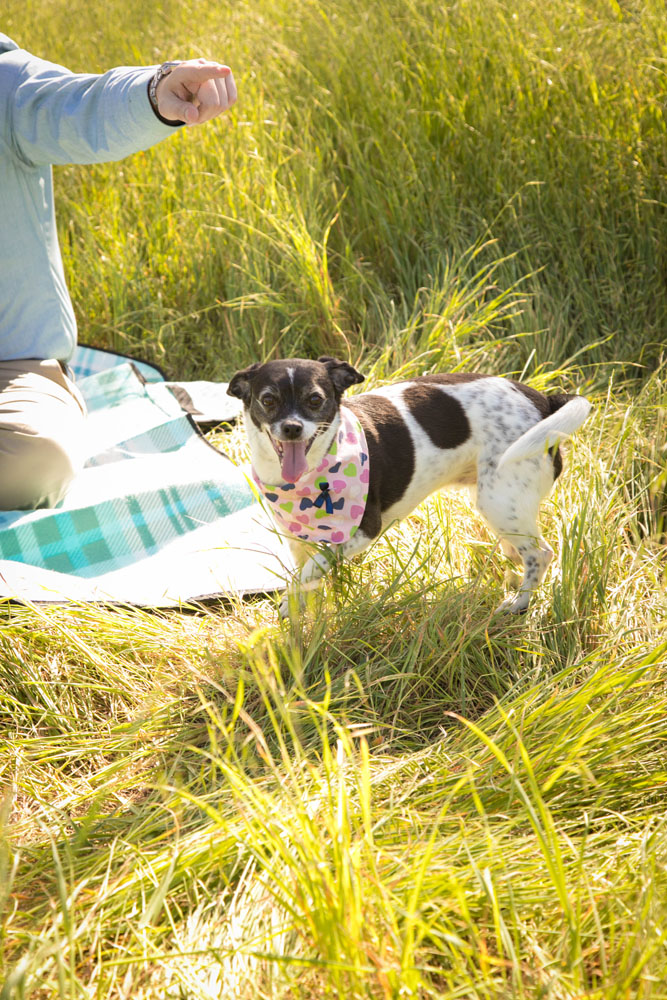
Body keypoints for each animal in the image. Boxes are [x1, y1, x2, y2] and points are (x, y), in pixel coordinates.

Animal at [227, 356, 592, 612]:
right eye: (268, 400)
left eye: (315, 400)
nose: (291, 428)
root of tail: (542, 400)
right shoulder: (296, 538)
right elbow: (306, 574)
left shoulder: (364, 530)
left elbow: (310, 570)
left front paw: (289, 604)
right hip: (503, 508)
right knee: (521, 551)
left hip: (500, 501)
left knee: (541, 554)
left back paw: (520, 603)